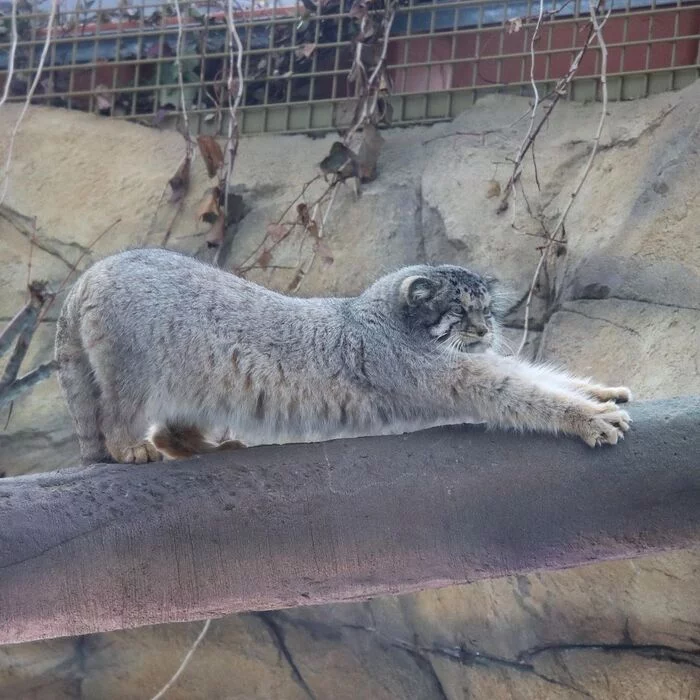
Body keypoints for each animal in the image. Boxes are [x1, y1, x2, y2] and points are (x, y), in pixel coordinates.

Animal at [54, 247, 632, 464]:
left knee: (171, 430)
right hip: (135, 369)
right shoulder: (441, 374)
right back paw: (130, 447)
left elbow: (531, 372)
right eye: (461, 311)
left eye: (487, 309)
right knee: (119, 414)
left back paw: (206, 446)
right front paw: (590, 419)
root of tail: (88, 275)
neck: (380, 316)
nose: (486, 330)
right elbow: (520, 391)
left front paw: (600, 391)